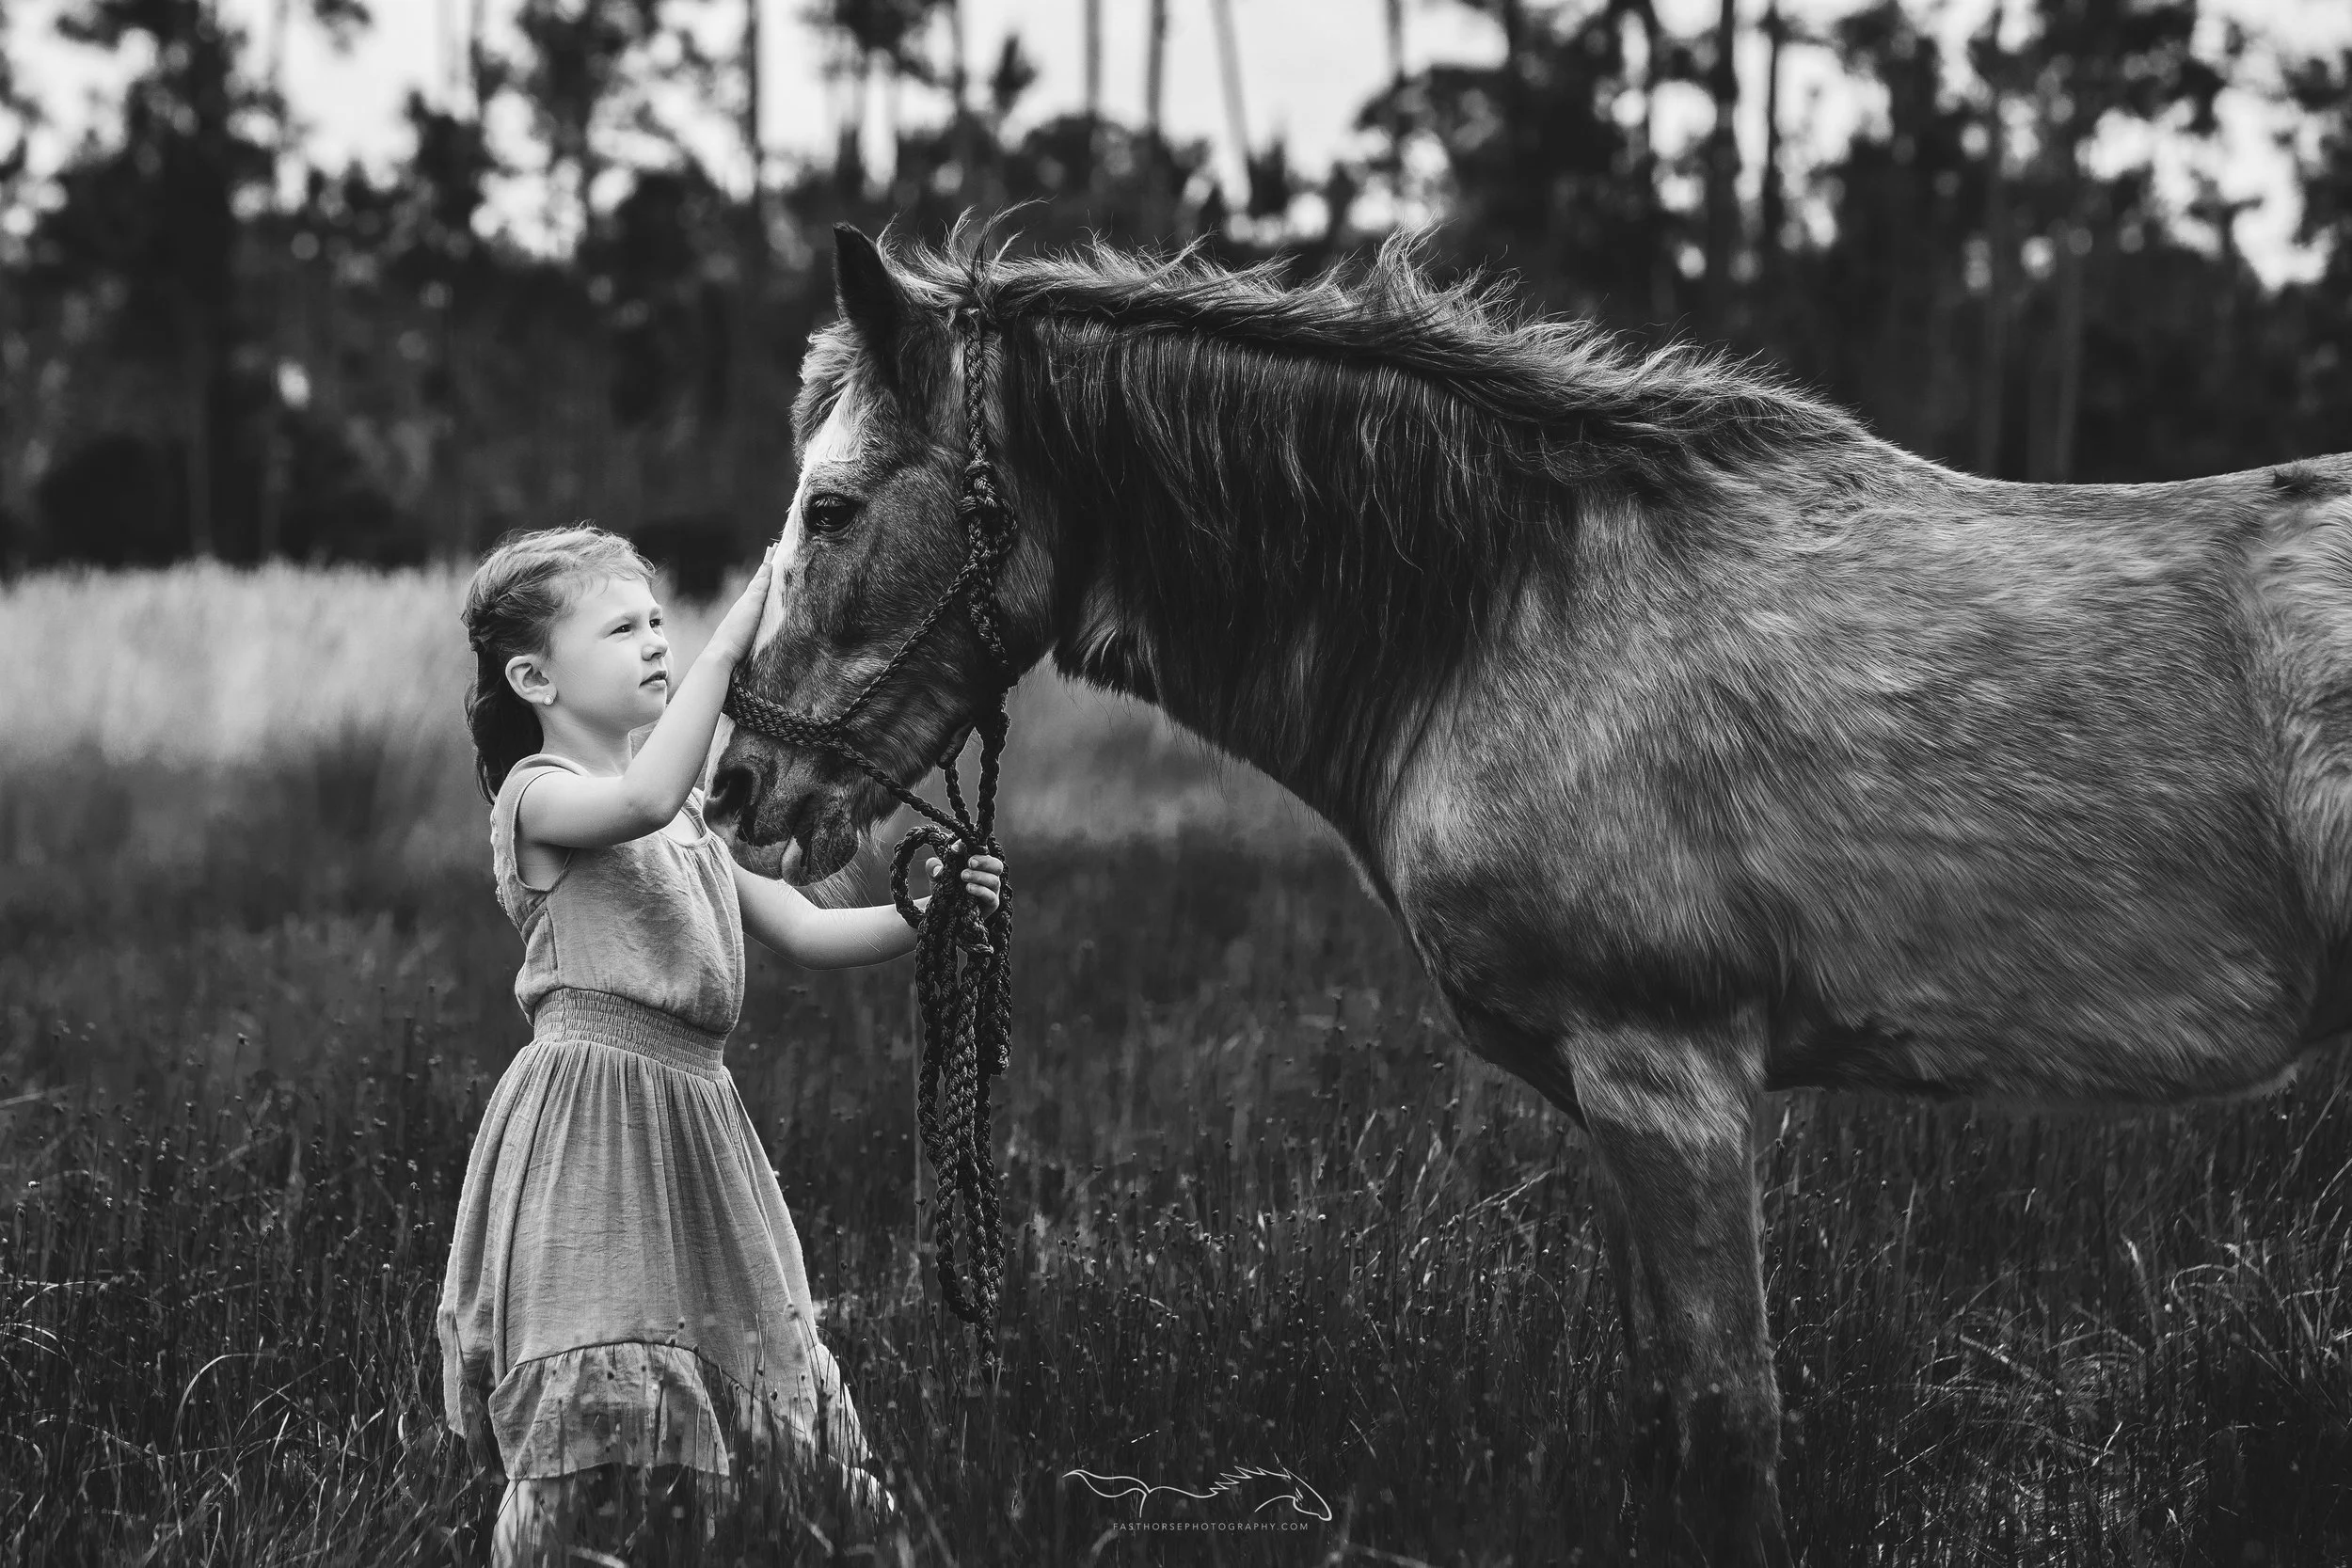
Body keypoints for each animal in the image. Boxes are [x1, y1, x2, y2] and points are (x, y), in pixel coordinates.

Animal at [705, 222, 2352, 1565]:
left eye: (832, 510)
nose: (739, 791)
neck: (1507, 618)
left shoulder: (1669, 1078)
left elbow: (1727, 1426)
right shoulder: (1612, 1101)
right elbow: (1661, 1417)